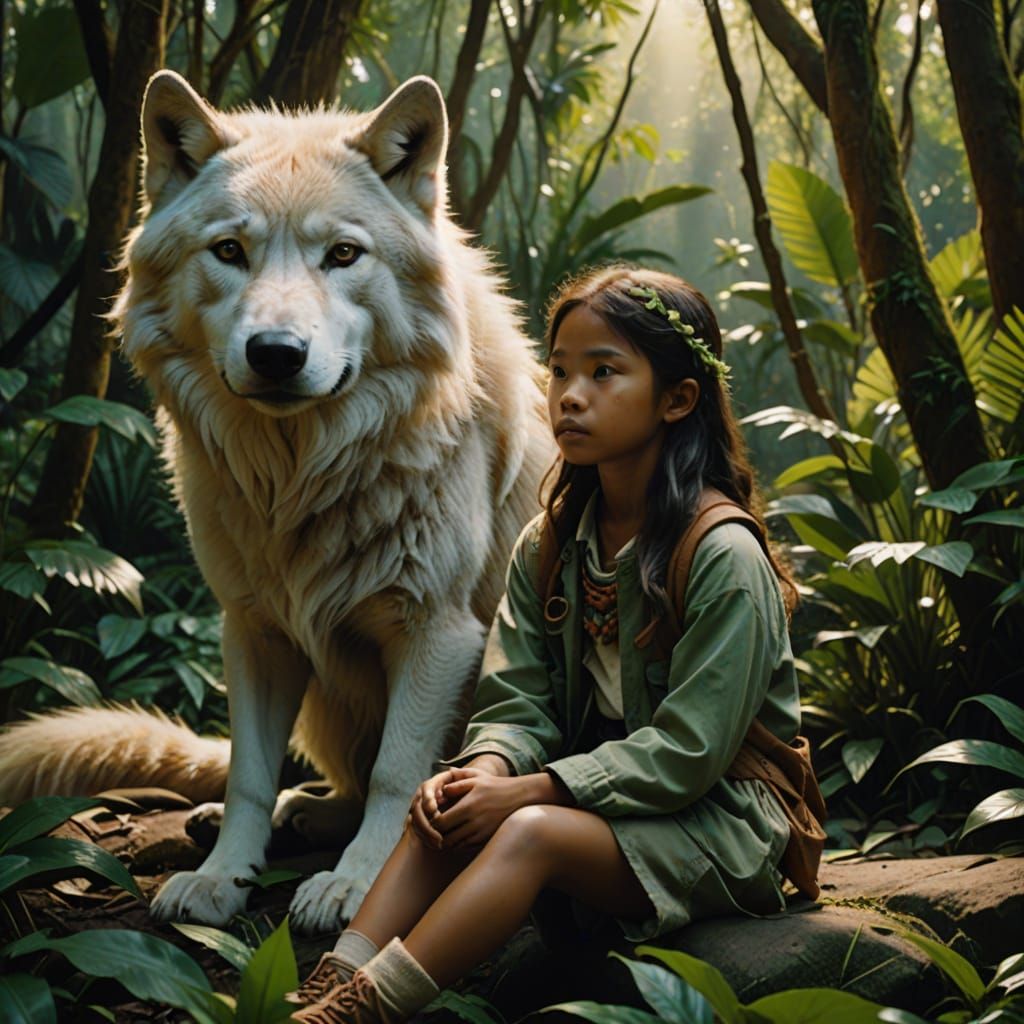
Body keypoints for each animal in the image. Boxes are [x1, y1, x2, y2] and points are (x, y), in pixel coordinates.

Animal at [0, 70, 551, 932]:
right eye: (231, 251)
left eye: (343, 255)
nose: (277, 353)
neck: (303, 477)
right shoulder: (253, 628)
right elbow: (250, 774)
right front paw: (223, 877)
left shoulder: (439, 630)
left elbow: (399, 775)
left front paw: (357, 886)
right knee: (316, 781)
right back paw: (281, 814)